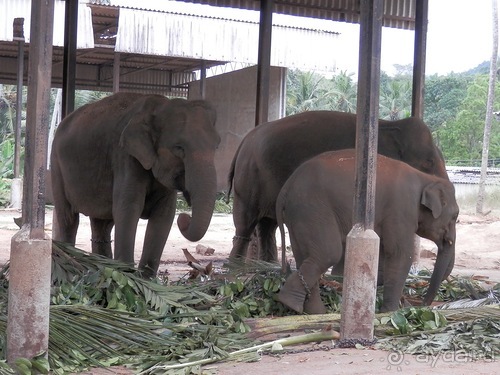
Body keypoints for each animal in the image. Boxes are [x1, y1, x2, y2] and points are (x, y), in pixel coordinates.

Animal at [51, 92, 221, 278]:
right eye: (179, 148)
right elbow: (128, 209)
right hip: (57, 166)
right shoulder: (125, 157)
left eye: (217, 146)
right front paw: (127, 276)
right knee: (68, 218)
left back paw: (101, 266)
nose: (184, 216)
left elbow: (164, 215)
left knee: (102, 225)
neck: (160, 106)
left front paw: (145, 280)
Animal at [227, 110, 450, 262]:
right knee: (246, 223)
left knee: (267, 226)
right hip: (249, 181)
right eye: (428, 163)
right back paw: (235, 267)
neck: (387, 127)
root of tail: (245, 140)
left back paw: (267, 264)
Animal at [276, 150, 458, 314]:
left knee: (304, 256)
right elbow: (400, 253)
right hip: (312, 209)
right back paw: (290, 302)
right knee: (329, 252)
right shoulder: (401, 210)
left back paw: (313, 312)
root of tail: (286, 187)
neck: (426, 178)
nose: (423, 305)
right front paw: (391, 312)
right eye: (455, 216)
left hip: (297, 216)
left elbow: (385, 252)